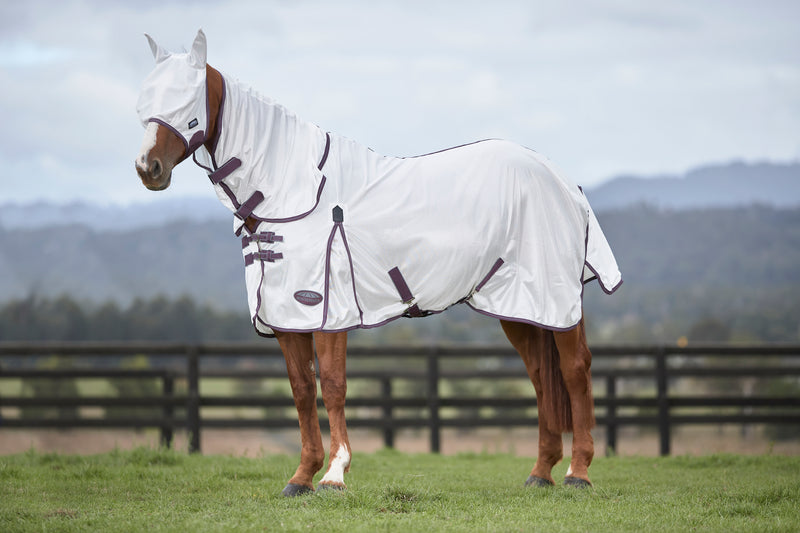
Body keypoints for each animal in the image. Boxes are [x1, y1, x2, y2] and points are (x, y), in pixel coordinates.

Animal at [135, 30, 621, 496]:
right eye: (144, 101)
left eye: (188, 104)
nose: (147, 168)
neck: (292, 191)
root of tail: (562, 180)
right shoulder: (286, 315)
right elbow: (301, 389)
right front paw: (301, 477)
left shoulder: (328, 311)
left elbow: (333, 386)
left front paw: (334, 475)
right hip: (517, 306)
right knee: (540, 377)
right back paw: (540, 473)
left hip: (557, 300)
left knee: (575, 371)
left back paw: (579, 473)